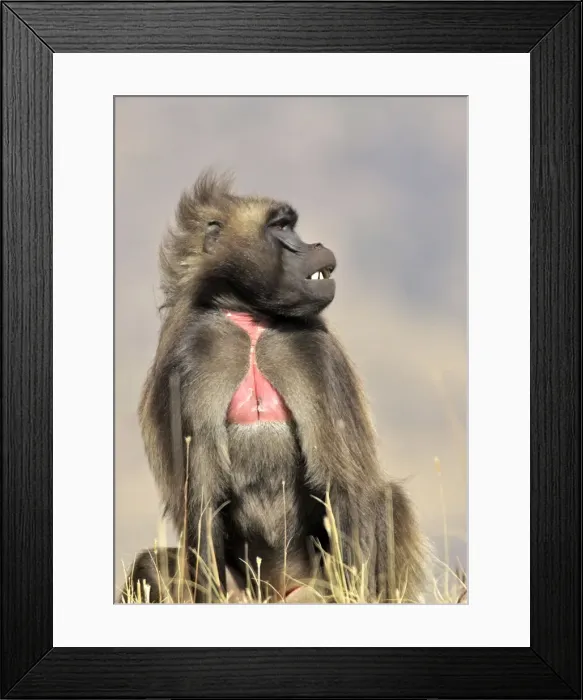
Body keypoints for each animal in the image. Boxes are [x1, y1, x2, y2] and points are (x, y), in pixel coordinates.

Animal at [126, 171, 429, 603]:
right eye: (281, 227)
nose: (315, 245)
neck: (250, 322)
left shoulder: (314, 353)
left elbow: (343, 484)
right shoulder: (190, 360)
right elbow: (201, 503)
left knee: (385, 498)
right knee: (149, 565)